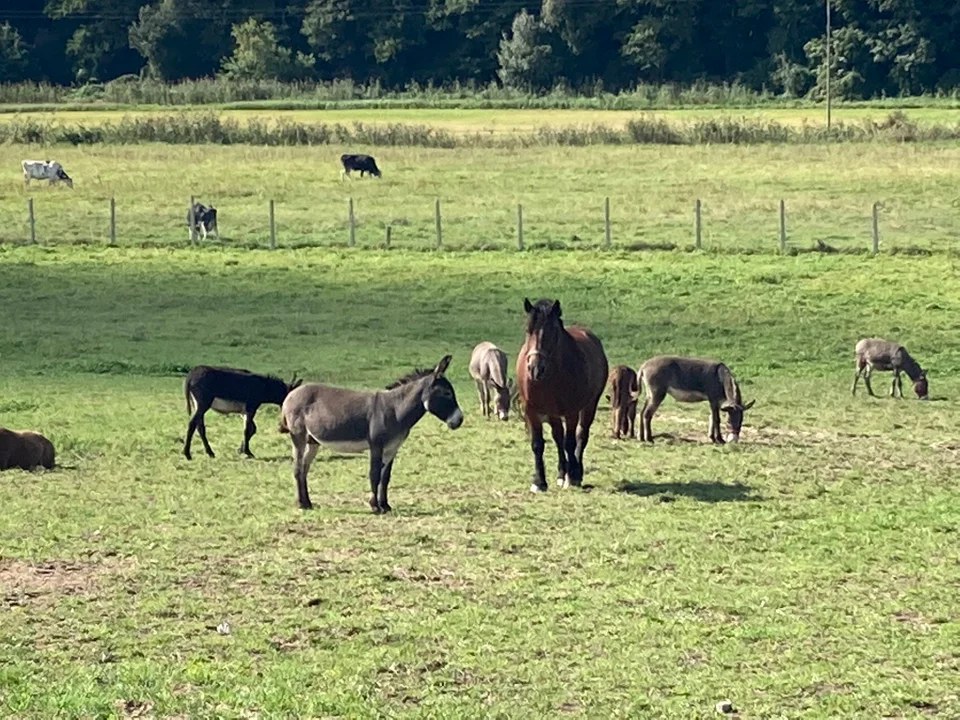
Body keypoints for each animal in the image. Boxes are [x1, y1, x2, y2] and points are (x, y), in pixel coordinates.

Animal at [516, 296, 608, 490]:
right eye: (528, 330)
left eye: (552, 332)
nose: (535, 368)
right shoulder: (531, 410)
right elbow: (538, 444)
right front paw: (539, 482)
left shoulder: (571, 411)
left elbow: (570, 442)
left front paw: (572, 476)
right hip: (553, 413)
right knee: (558, 437)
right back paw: (561, 472)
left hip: (589, 405)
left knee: (581, 435)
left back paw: (575, 472)